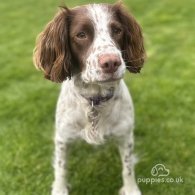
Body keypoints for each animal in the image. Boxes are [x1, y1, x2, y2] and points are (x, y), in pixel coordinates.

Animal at [32, 1, 145, 195]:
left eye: (117, 30)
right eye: (81, 35)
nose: (111, 62)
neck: (94, 99)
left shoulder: (125, 135)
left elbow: (128, 166)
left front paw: (131, 189)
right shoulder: (63, 137)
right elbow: (61, 167)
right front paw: (60, 189)